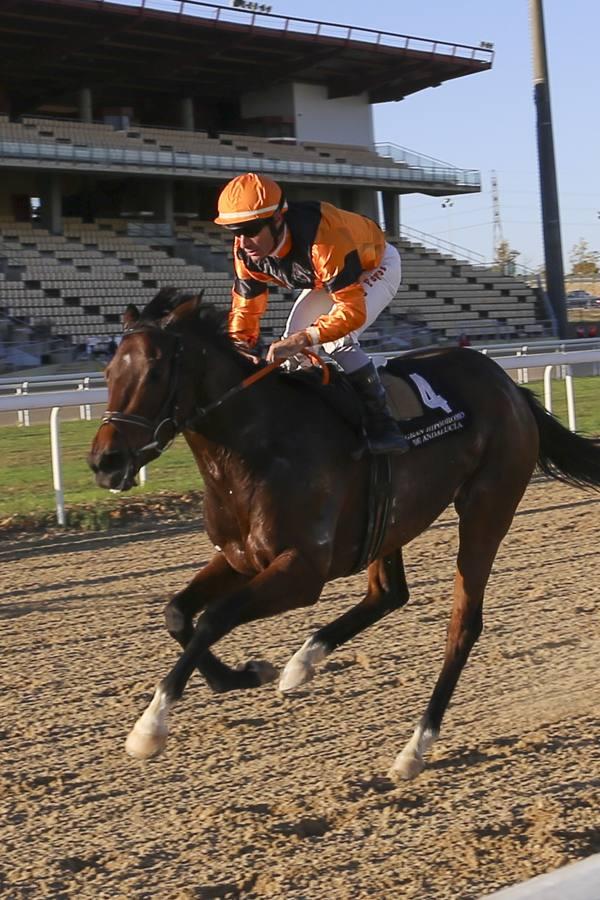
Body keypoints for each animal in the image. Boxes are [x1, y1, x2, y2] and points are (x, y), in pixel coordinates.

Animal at [88, 290, 600, 780]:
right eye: (109, 371)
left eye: (155, 373)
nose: (105, 462)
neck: (256, 447)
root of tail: (511, 388)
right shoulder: (240, 558)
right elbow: (177, 613)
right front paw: (247, 674)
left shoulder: (303, 570)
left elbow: (216, 617)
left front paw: (149, 728)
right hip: (391, 521)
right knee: (388, 594)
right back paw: (302, 664)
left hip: (487, 508)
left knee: (463, 625)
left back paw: (414, 748)